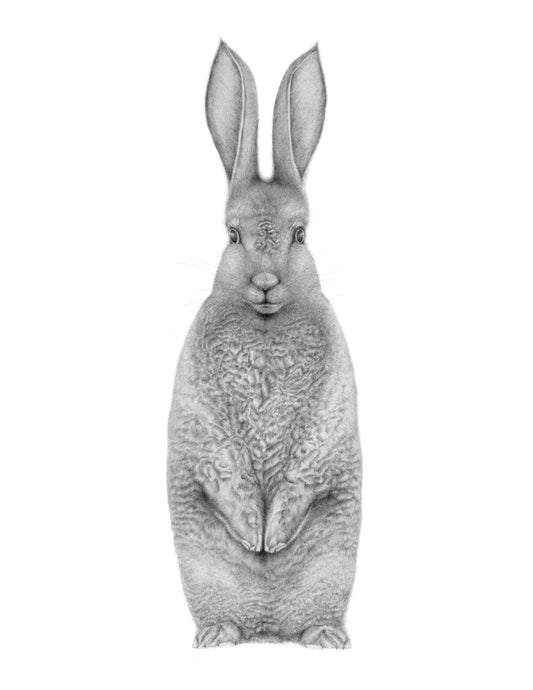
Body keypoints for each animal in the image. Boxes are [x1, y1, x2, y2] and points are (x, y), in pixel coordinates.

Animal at [167, 41, 362, 649]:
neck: (266, 326)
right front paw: (254, 532)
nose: (266, 283)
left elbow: (305, 464)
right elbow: (225, 464)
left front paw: (271, 538)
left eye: (301, 234)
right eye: (232, 235)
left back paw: (325, 638)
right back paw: (218, 636)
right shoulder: (201, 414)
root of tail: (269, 630)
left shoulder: (330, 411)